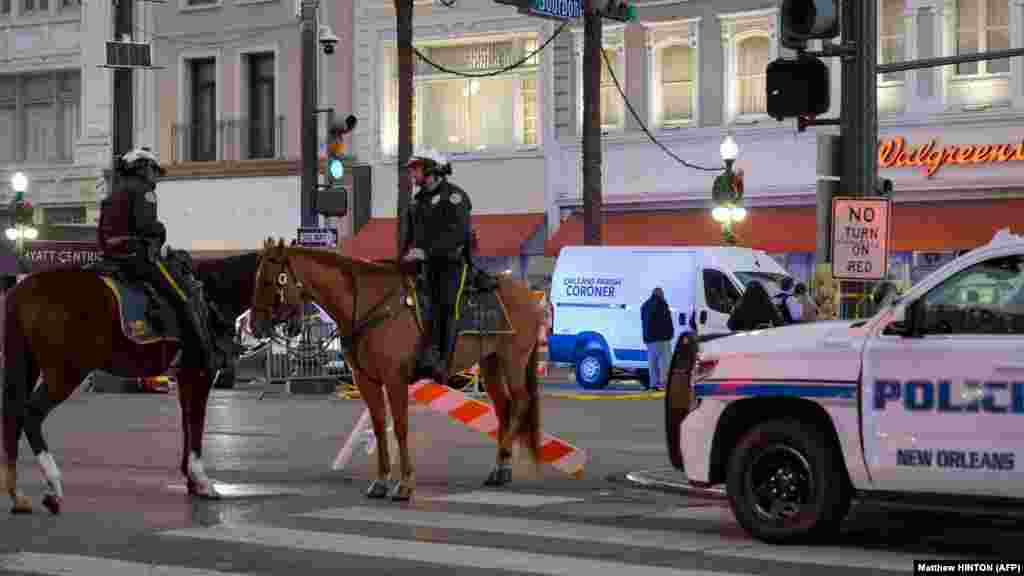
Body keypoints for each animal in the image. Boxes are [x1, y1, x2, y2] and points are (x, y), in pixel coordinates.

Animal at [1, 251, 276, 510]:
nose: (260, 327)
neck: (210, 294)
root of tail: (23, 290)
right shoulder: (200, 375)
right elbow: (196, 424)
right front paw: (203, 482)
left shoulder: (185, 378)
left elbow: (187, 424)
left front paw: (192, 481)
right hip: (65, 373)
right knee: (31, 415)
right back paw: (54, 486)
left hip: (29, 366)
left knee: (13, 417)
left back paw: (18, 496)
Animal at [249, 237, 544, 498]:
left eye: (268, 281)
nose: (255, 327)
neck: (370, 305)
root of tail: (528, 295)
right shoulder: (365, 380)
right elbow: (380, 427)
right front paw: (380, 482)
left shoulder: (395, 380)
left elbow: (400, 428)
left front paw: (405, 484)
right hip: (491, 362)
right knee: (504, 407)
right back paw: (501, 468)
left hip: (513, 359)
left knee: (521, 402)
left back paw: (500, 462)